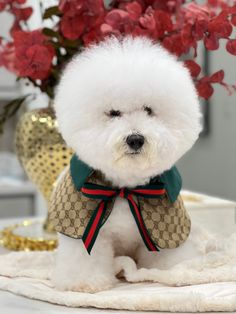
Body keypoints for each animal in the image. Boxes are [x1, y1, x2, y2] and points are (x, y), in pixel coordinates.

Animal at [49, 36, 201, 292]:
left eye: (149, 110)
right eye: (113, 113)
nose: (135, 139)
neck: (125, 188)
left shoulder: (167, 228)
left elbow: (167, 254)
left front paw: (171, 274)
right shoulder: (82, 229)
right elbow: (85, 257)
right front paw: (84, 282)